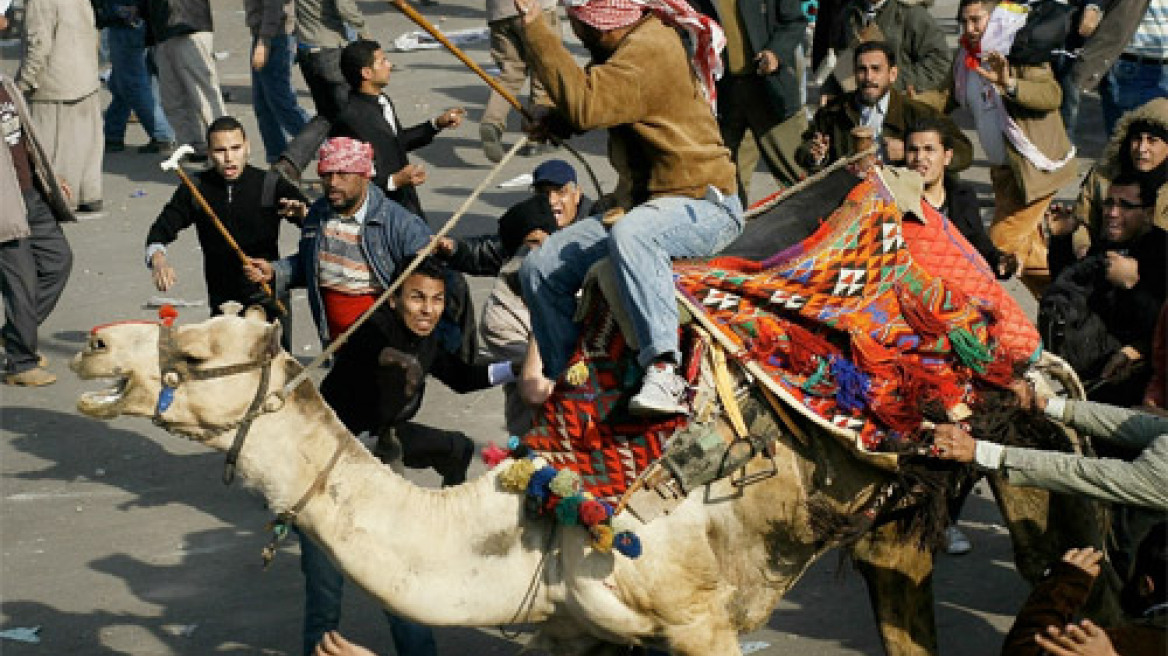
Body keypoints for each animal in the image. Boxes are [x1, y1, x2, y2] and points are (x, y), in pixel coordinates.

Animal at [73, 303, 1102, 648]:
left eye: (195, 351)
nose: (93, 344)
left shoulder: (696, 622)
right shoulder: (575, 630)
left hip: (1023, 429)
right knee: (902, 575)